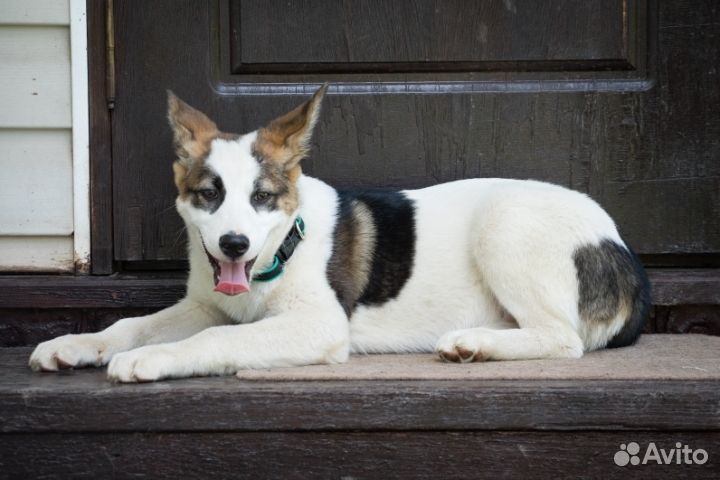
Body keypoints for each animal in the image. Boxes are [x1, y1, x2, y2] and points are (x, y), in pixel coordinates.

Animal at [28, 83, 648, 382]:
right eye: (210, 194)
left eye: (262, 197)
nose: (233, 245)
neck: (277, 254)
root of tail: (624, 253)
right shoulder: (205, 304)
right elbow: (132, 324)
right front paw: (75, 344)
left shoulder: (319, 325)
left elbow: (214, 340)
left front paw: (151, 360)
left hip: (505, 224)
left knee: (562, 339)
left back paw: (472, 343)